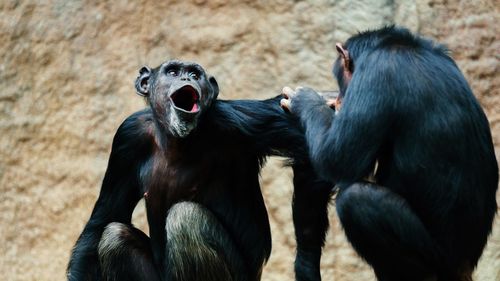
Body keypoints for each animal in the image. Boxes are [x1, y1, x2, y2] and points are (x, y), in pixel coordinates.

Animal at [66, 59, 332, 280]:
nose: (187, 79)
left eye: (195, 74)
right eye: (173, 72)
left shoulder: (236, 118)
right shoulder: (127, 137)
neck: (176, 139)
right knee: (115, 236)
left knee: (186, 218)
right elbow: (105, 217)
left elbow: (311, 150)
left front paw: (306, 267)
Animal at [280, 25, 498, 278]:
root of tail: (466, 264)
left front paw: (306, 99)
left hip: (439, 259)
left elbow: (338, 158)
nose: (340, 98)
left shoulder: (375, 73)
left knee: (356, 199)